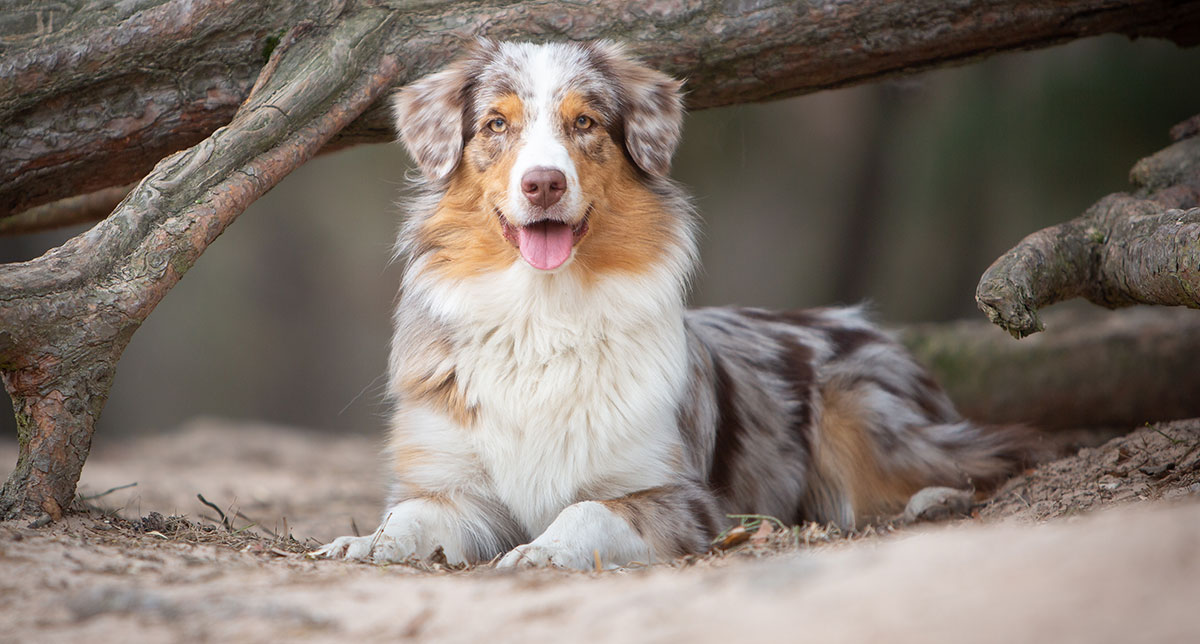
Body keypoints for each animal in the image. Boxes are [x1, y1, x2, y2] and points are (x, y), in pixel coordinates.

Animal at [312, 38, 1032, 568]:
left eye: (584, 122)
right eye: (496, 124)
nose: (543, 183)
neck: (543, 314)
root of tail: (860, 323)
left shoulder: (677, 496)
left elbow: (587, 509)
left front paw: (543, 550)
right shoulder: (453, 482)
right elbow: (412, 514)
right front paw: (368, 541)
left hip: (858, 408)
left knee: (979, 458)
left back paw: (933, 498)